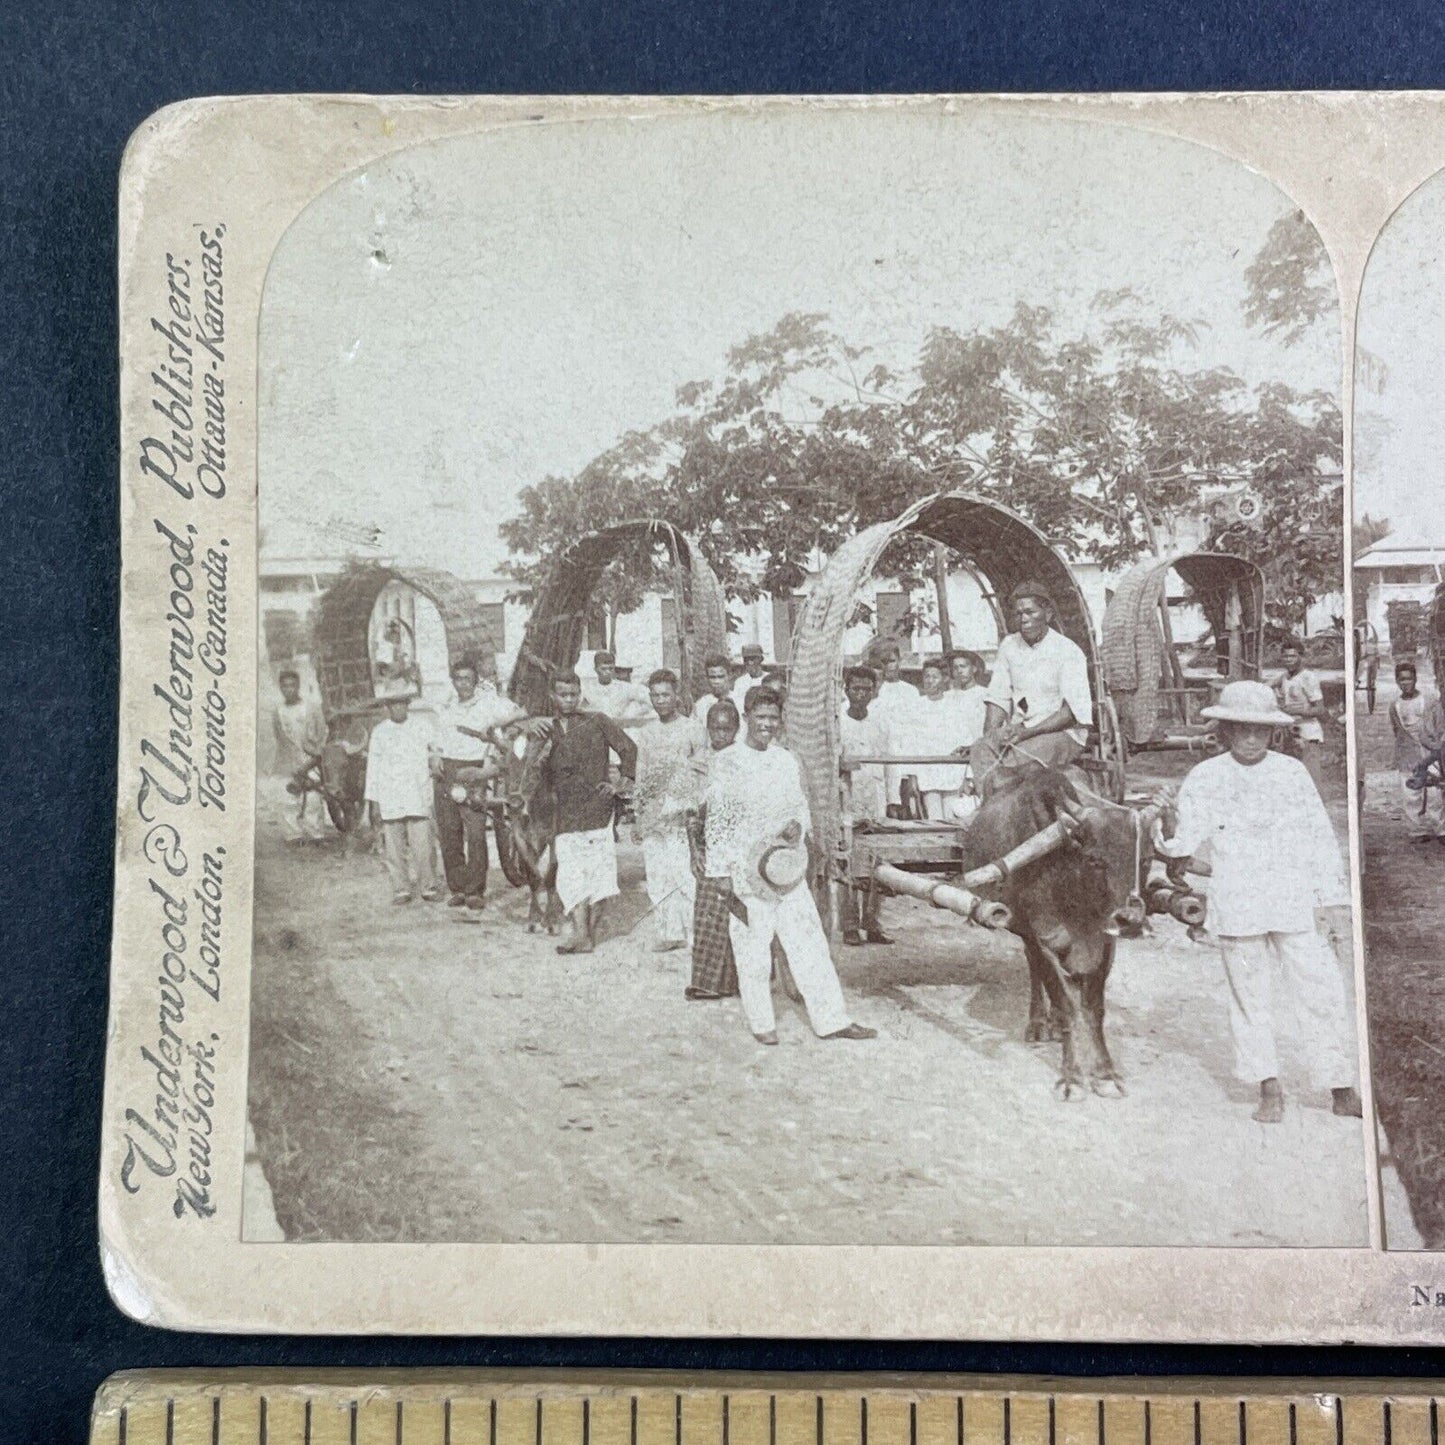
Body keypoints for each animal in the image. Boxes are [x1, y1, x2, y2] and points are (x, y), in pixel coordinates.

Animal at [959, 774, 1150, 1098]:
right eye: (1094, 860)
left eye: (1143, 861)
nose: (1131, 919)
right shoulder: (1042, 940)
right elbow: (1065, 1004)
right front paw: (1071, 1075)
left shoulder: (1105, 945)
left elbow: (1094, 1009)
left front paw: (1105, 1073)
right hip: (1022, 930)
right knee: (1034, 968)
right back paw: (1038, 1023)